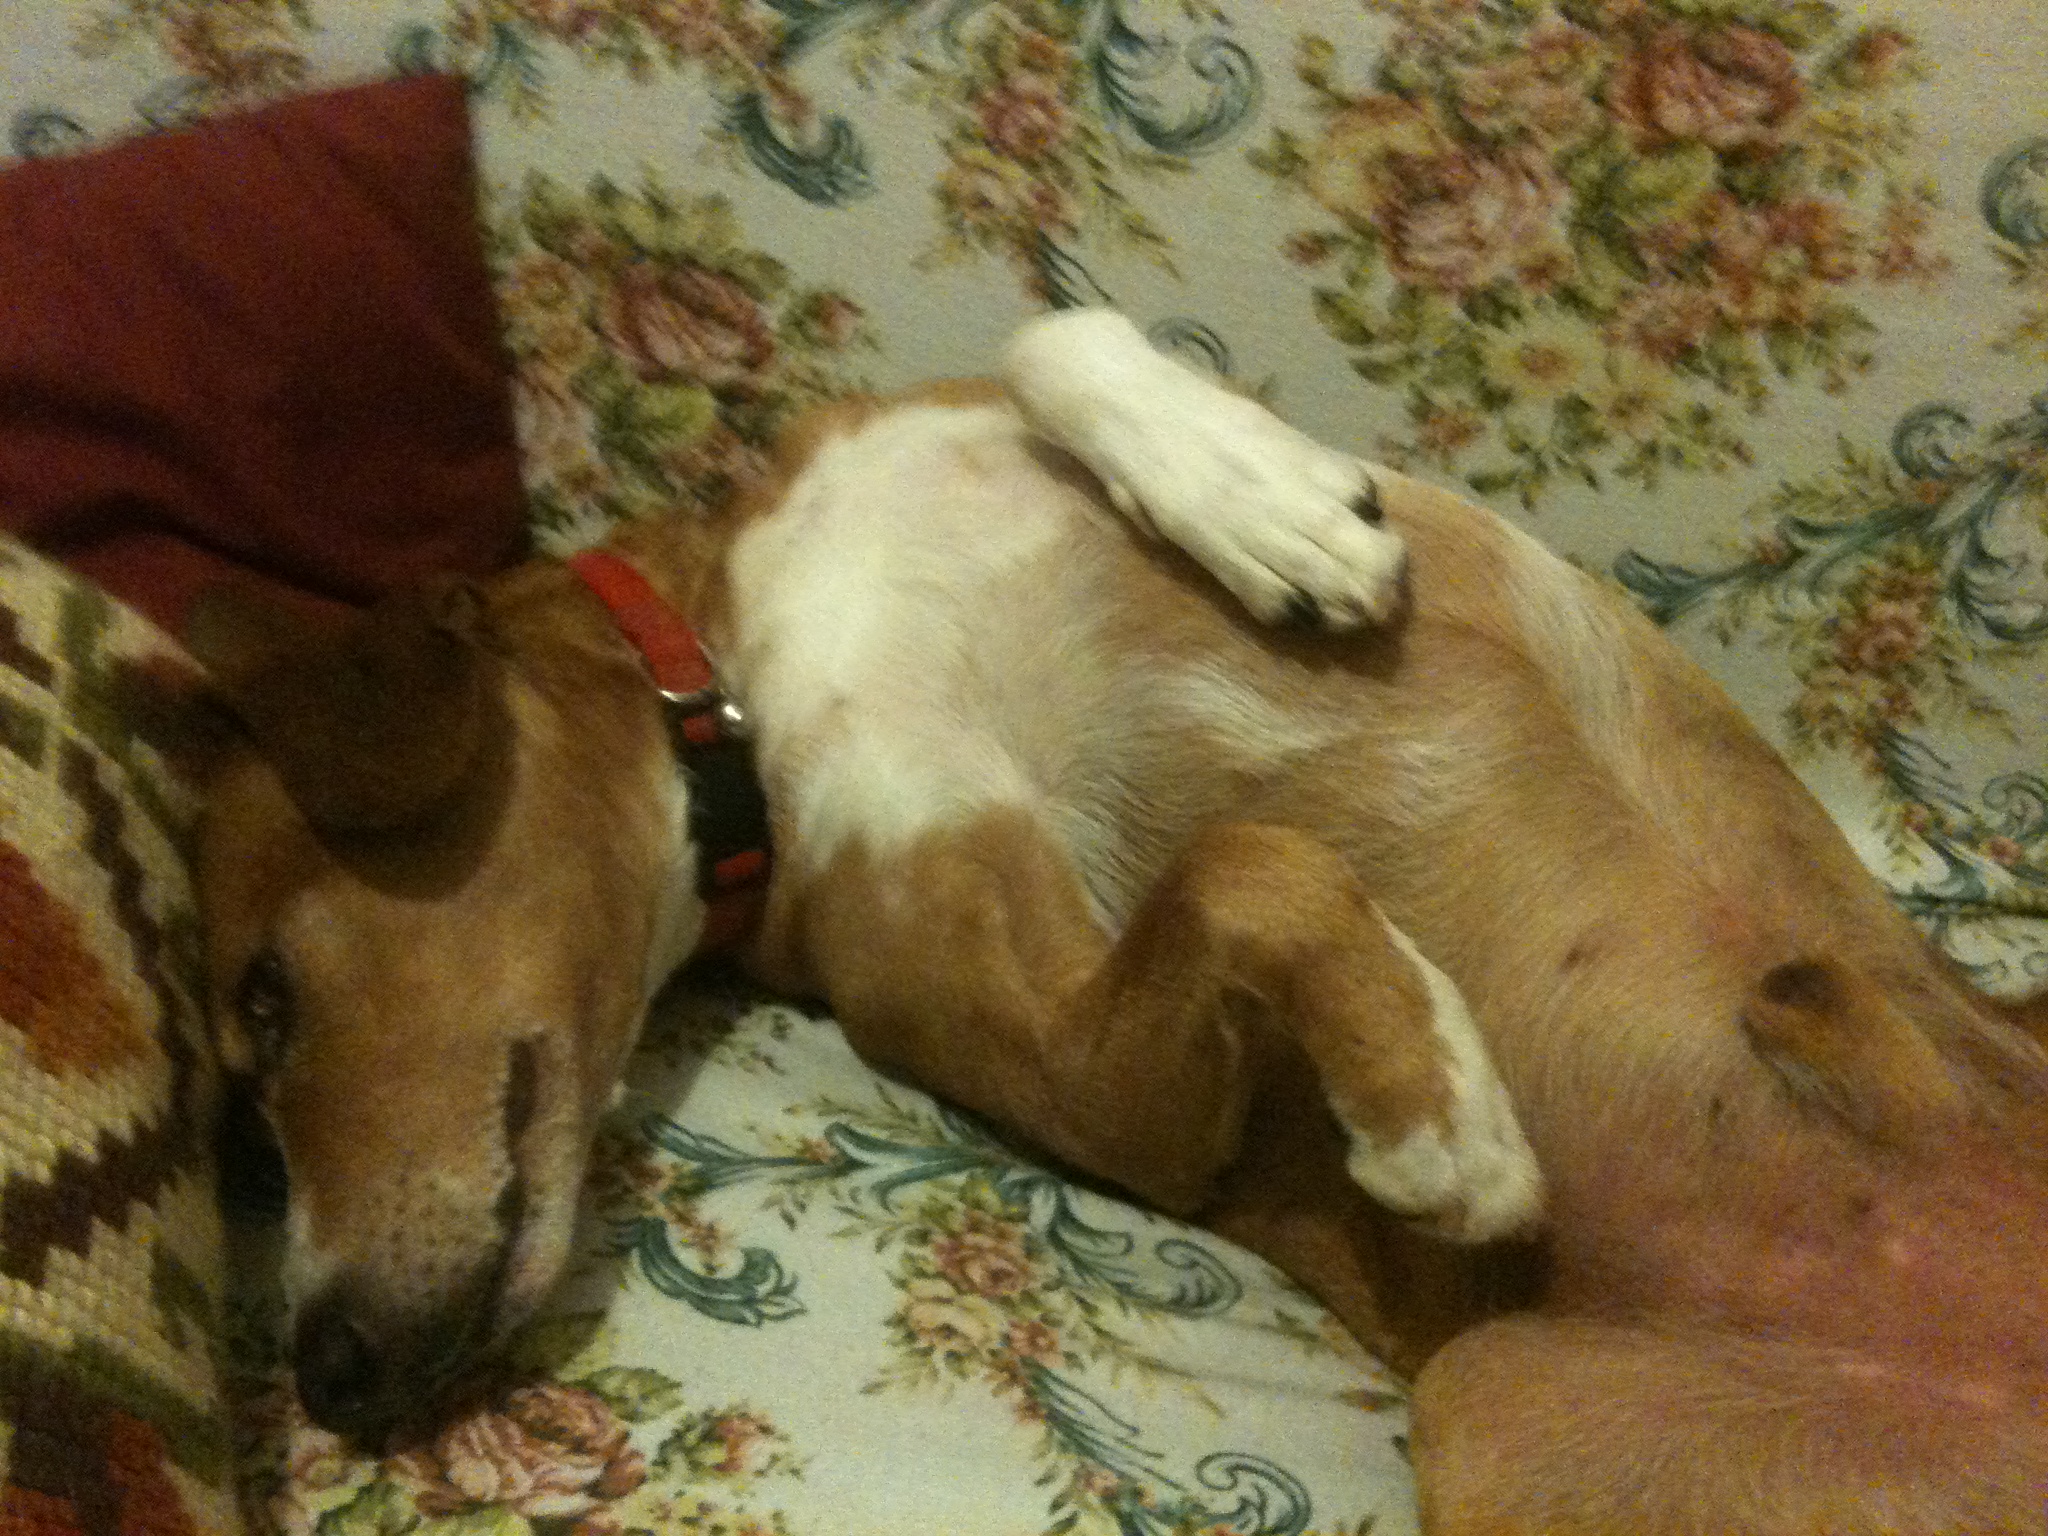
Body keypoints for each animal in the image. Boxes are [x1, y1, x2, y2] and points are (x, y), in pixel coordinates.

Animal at [191, 311, 2048, 1530]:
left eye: (267, 999)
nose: (333, 1372)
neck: (732, 672)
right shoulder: (1083, 1072)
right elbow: (1242, 868)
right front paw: (1434, 1103)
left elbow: (1049, 328)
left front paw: (1267, 503)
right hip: (1497, 1401)